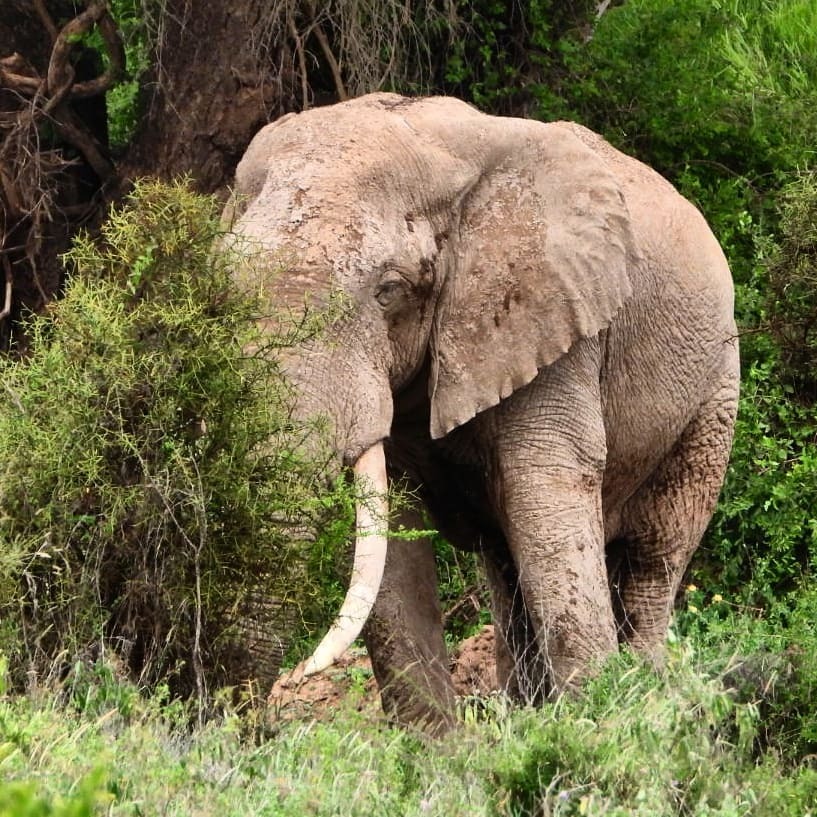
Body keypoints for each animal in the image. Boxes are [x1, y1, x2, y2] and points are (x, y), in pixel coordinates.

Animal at [225, 93, 739, 734]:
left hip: (714, 392)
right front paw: (437, 753)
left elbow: (546, 493)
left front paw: (597, 732)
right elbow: (395, 543)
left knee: (654, 558)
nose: (245, 724)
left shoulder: (557, 320)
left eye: (390, 290)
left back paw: (650, 700)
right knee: (508, 568)